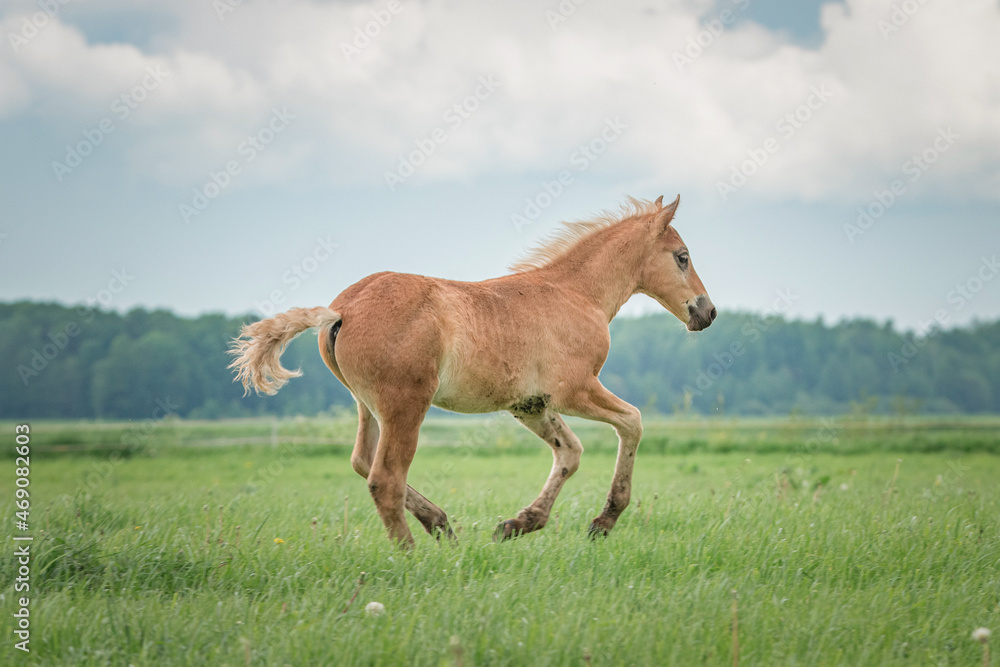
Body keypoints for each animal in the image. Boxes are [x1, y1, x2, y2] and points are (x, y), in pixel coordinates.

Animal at [229, 195, 715, 547]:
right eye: (683, 256)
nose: (706, 312)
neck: (576, 293)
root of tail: (339, 311)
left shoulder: (530, 404)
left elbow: (570, 452)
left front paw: (519, 523)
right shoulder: (574, 390)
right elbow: (632, 421)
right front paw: (604, 520)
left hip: (368, 405)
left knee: (362, 462)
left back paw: (441, 524)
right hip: (406, 404)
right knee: (384, 478)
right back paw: (412, 555)